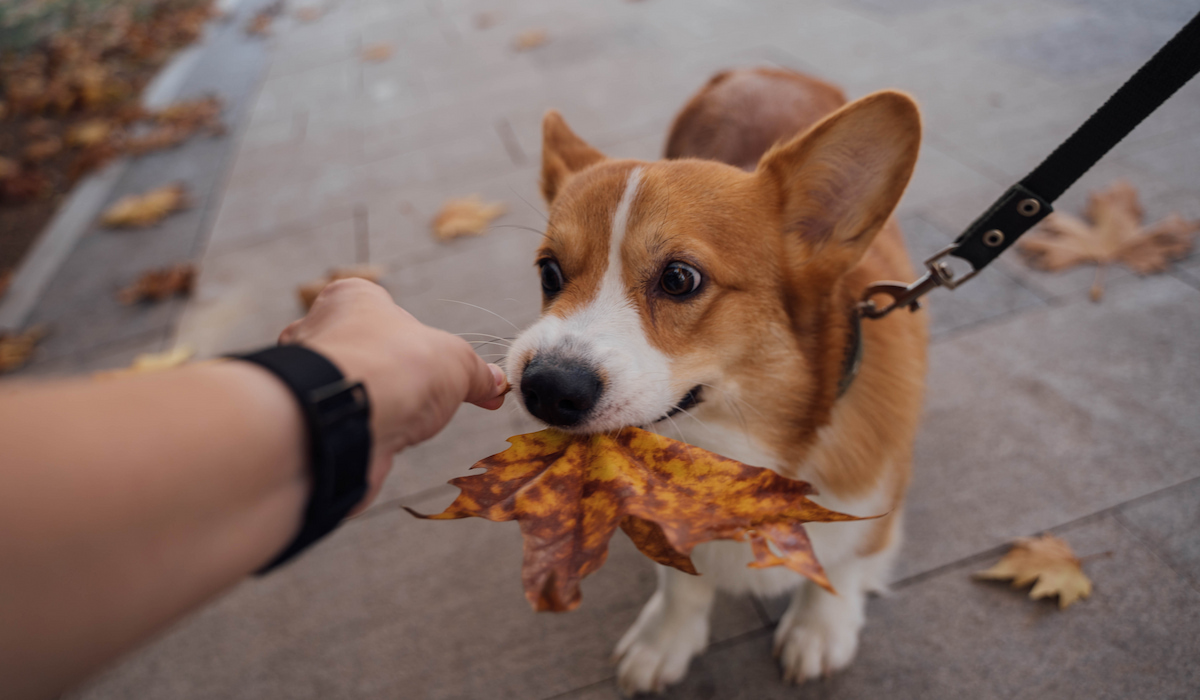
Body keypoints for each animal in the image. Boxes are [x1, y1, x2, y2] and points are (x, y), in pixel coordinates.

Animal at [504, 68, 926, 691]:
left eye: (680, 279)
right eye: (549, 272)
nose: (546, 389)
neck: (737, 442)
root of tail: (761, 70)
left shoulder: (878, 499)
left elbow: (847, 563)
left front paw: (819, 629)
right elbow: (681, 583)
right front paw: (664, 639)